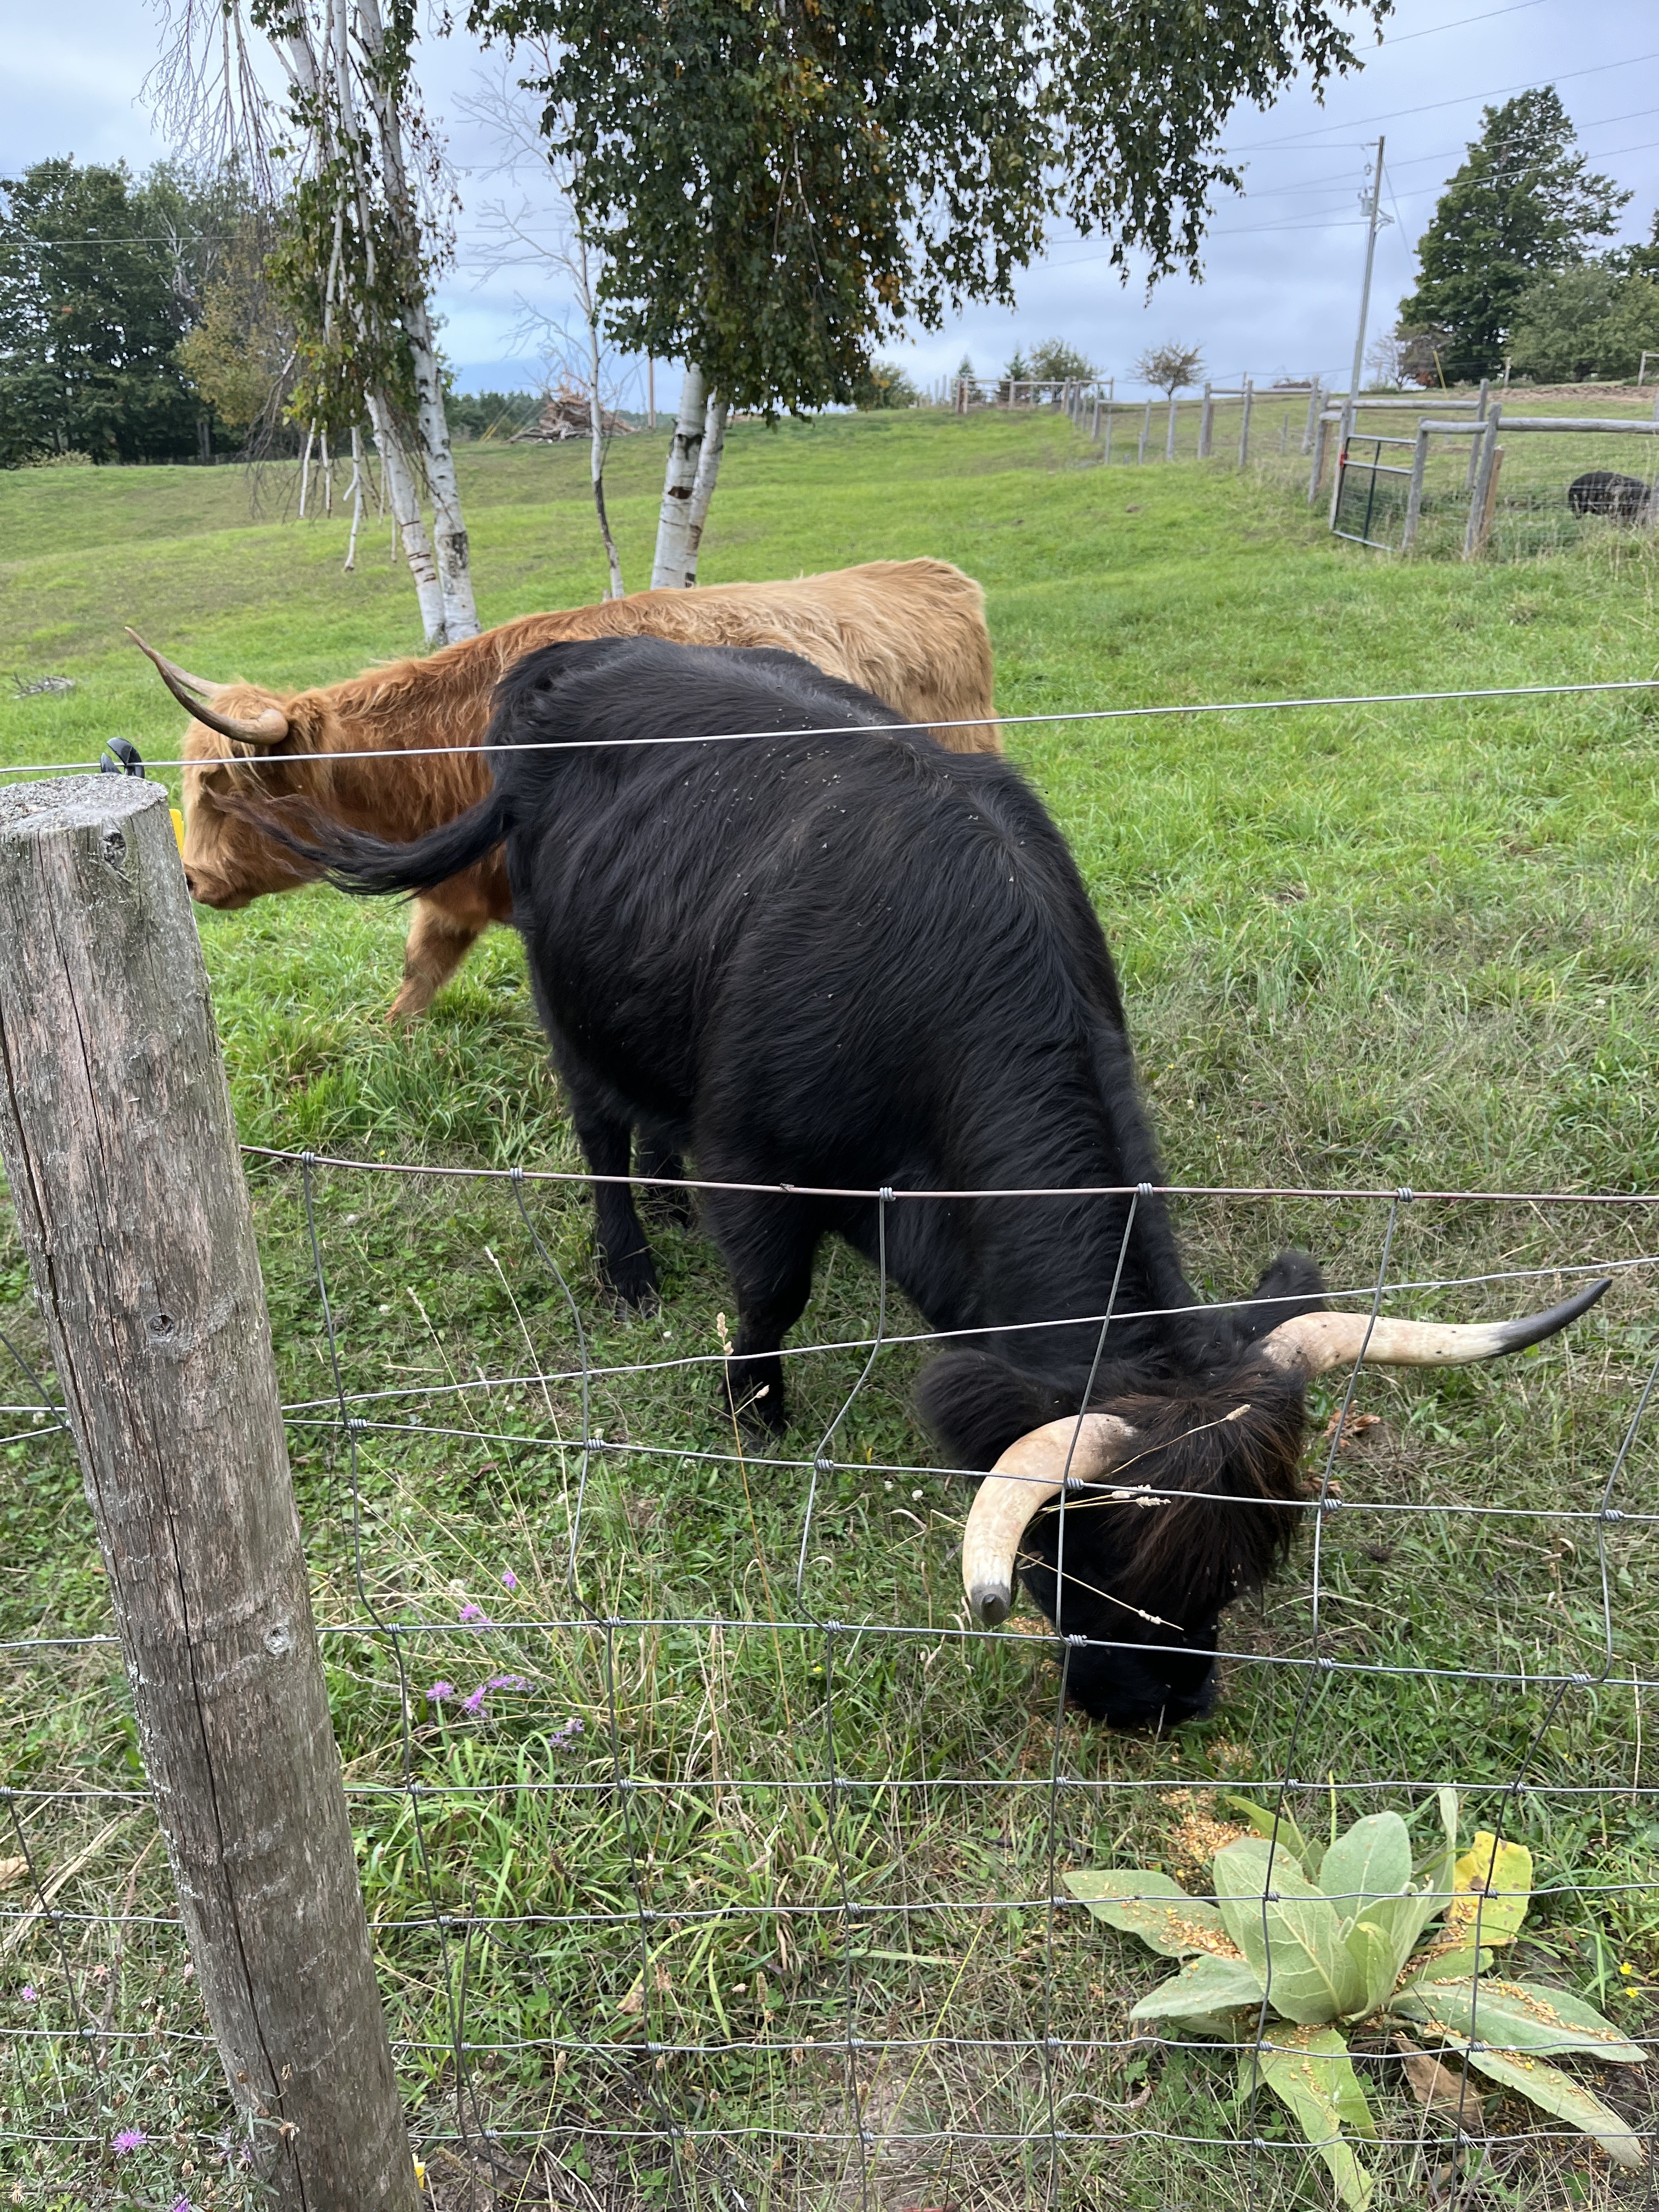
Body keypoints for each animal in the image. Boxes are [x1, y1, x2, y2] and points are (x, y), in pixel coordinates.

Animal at [132, 558, 999, 1021]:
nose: (191, 879)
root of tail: (928, 574)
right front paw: (385, 1042)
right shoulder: (453, 894)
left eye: (218, 787)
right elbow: (416, 977)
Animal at [279, 635, 1608, 1728]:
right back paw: (631, 1261)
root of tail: (573, 655)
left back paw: (665, 1206)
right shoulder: (761, 1162)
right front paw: (754, 1413)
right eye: (1080, 1558)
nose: (1162, 1707)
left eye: (1234, 1570)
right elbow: (770, 1295)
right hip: (573, 997)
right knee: (600, 1124)